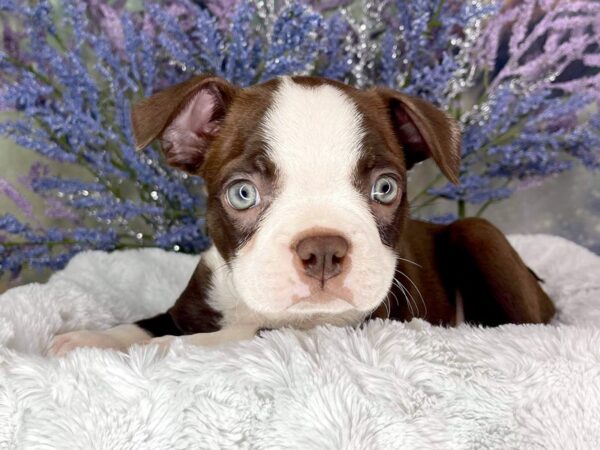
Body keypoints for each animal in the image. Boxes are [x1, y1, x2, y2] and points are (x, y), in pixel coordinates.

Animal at [48, 75, 556, 356]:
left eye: (385, 188)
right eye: (243, 194)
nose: (324, 249)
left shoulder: (335, 327)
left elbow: (232, 335)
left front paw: (157, 350)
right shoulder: (189, 306)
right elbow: (145, 322)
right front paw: (91, 340)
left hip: (479, 233)